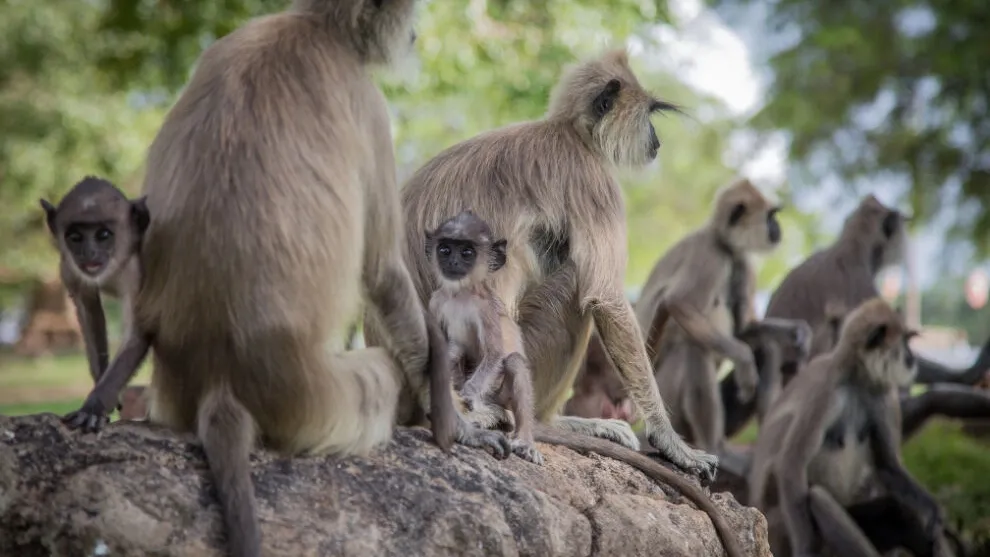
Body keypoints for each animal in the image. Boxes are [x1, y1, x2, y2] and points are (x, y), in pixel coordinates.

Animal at [62, 2, 512, 552]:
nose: (414, 34)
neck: (310, 25)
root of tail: (220, 381)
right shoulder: (365, 100)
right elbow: (382, 270)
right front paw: (460, 429)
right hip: (326, 401)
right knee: (384, 363)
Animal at [424, 211, 544, 462]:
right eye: (445, 249)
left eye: (467, 252)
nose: (453, 262)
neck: (460, 294)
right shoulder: (437, 302)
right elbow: (450, 348)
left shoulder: (484, 307)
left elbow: (495, 353)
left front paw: (468, 393)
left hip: (499, 394)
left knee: (514, 362)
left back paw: (525, 440)